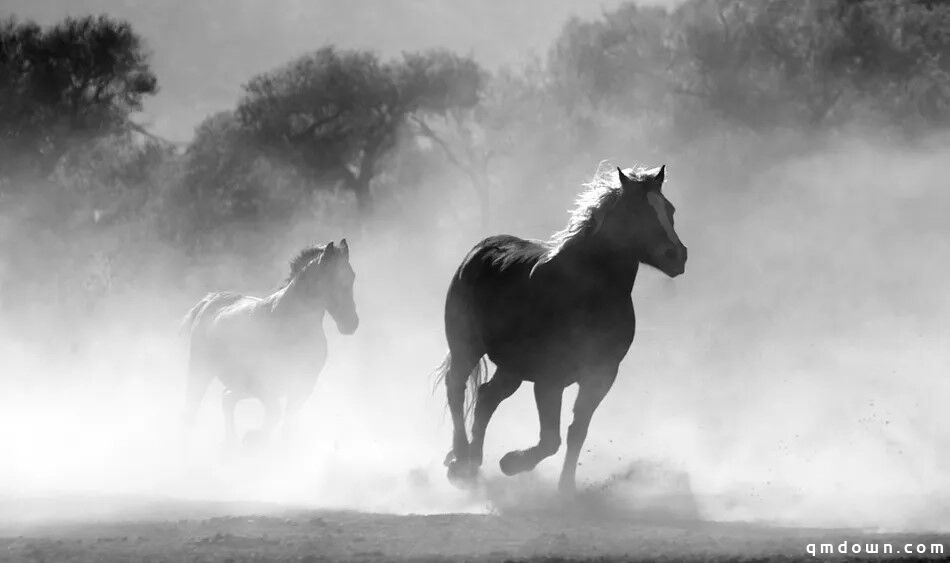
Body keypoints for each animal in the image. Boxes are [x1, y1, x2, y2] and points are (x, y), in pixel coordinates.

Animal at [180, 238, 358, 446]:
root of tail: (210, 300)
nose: (351, 323)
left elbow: (286, 425)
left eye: (352, 276)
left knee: (227, 400)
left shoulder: (302, 386)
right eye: (330, 279)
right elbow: (275, 414)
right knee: (192, 409)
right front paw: (253, 438)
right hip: (200, 370)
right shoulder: (263, 385)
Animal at [436, 162, 688, 494]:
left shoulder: (600, 375)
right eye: (637, 211)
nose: (677, 256)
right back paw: (461, 460)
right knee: (456, 388)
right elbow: (550, 439)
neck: (587, 293)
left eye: (669, 209)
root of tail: (479, 250)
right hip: (466, 347)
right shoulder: (549, 378)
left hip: (512, 368)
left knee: (487, 397)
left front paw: (566, 488)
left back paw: (473, 462)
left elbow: (576, 431)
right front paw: (512, 463)